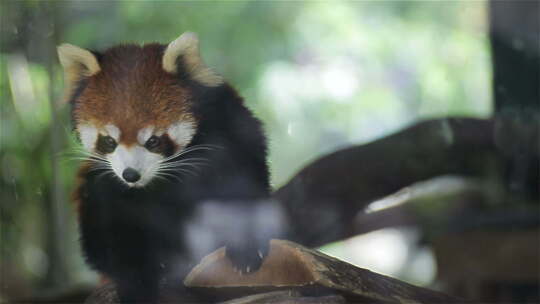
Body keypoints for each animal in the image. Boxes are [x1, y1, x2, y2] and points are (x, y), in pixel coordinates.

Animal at [58, 32, 278, 302]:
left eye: (153, 140)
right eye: (109, 141)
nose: (131, 175)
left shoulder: (232, 134)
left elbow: (243, 190)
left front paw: (246, 249)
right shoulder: (111, 188)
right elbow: (119, 233)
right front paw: (137, 281)